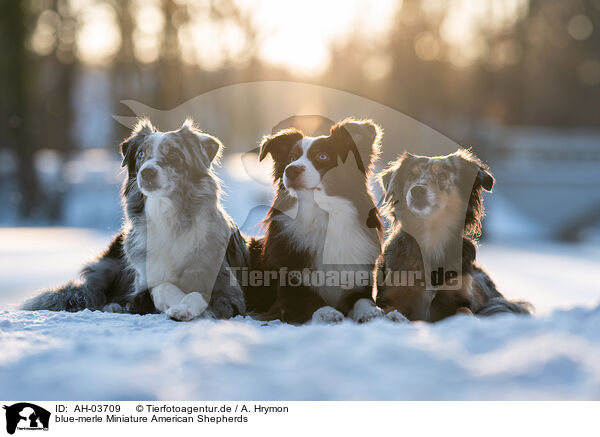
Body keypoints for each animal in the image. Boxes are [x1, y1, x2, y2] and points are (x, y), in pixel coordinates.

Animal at [21, 119, 246, 320]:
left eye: (174, 154)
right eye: (140, 154)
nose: (147, 172)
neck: (167, 218)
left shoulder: (230, 291)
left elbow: (198, 293)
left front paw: (184, 308)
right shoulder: (142, 287)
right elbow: (161, 287)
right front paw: (177, 303)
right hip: (108, 266)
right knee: (94, 294)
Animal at [251, 117, 386, 322]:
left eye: (323, 156)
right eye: (291, 158)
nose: (291, 170)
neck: (322, 216)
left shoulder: (359, 282)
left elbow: (363, 300)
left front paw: (371, 312)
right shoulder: (287, 294)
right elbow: (310, 301)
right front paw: (328, 313)